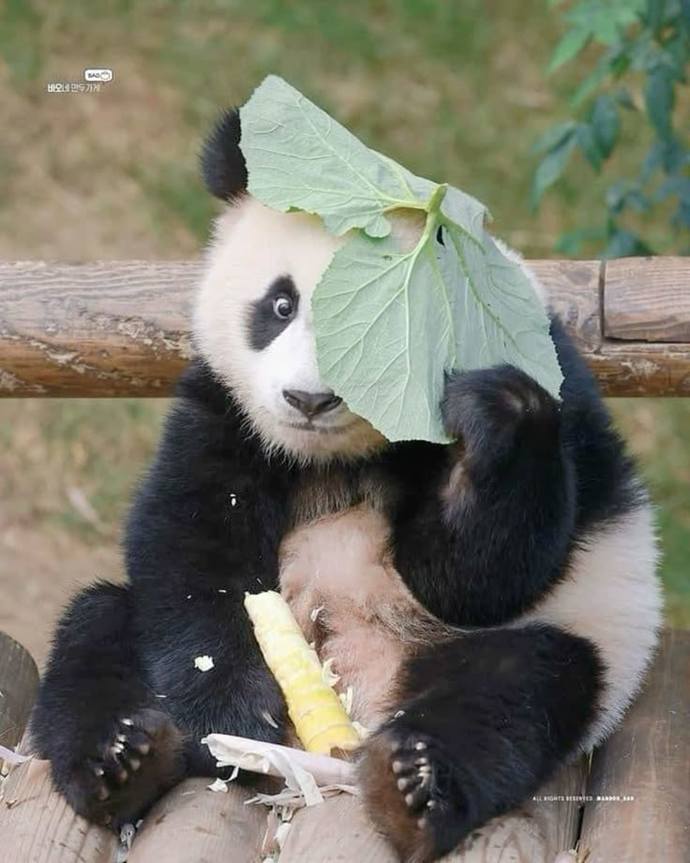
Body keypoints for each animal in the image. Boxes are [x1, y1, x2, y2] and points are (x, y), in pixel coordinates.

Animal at [30, 107, 662, 863]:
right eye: (280, 305)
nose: (309, 399)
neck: (338, 454)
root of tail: (358, 703)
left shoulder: (545, 400)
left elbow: (476, 577)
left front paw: (495, 409)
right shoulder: (226, 408)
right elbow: (193, 544)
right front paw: (231, 713)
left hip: (556, 638)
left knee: (517, 687)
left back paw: (409, 786)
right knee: (97, 628)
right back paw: (123, 759)